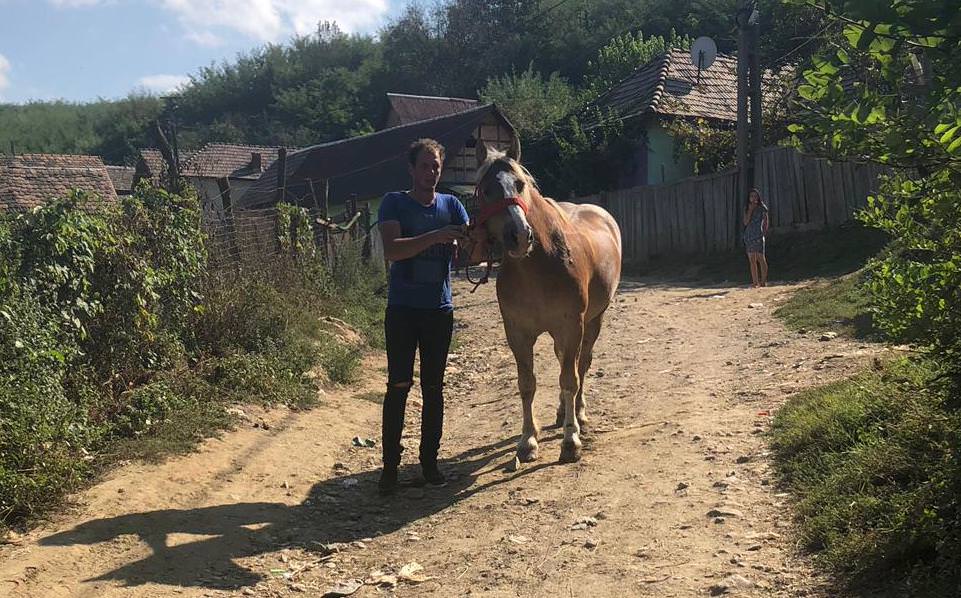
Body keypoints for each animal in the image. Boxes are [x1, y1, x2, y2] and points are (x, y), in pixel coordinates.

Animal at [466, 139, 624, 464]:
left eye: (520, 184)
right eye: (486, 190)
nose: (519, 236)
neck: (537, 266)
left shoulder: (572, 325)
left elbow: (570, 378)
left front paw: (570, 440)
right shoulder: (517, 333)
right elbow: (527, 383)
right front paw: (527, 440)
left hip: (593, 321)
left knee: (581, 364)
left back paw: (579, 414)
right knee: (565, 360)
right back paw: (564, 411)